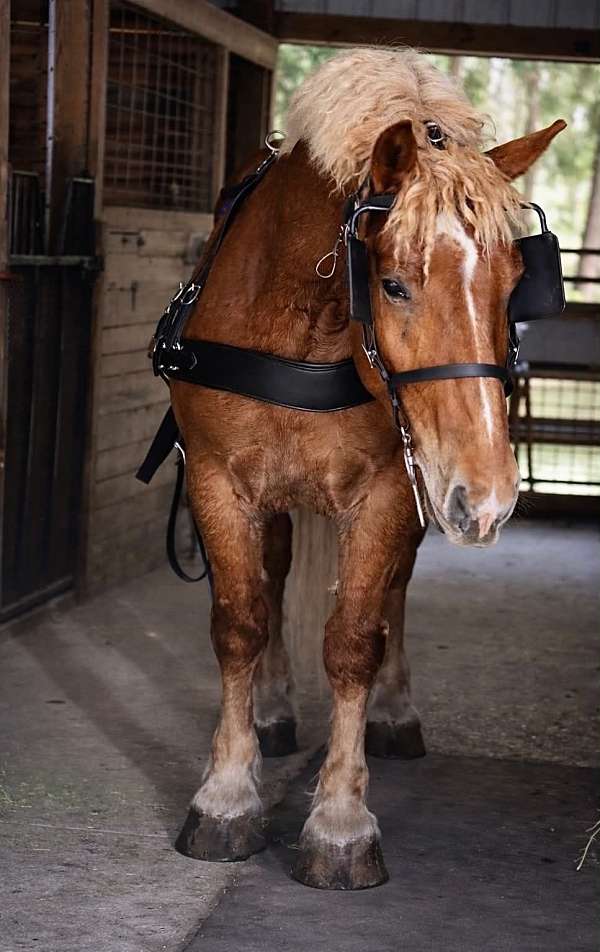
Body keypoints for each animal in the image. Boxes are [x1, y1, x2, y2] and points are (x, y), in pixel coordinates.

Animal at [168, 48, 565, 890]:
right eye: (393, 283)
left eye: (514, 285)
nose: (489, 496)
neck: (305, 326)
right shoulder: (219, 478)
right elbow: (240, 621)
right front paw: (227, 794)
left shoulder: (391, 491)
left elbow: (355, 637)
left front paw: (340, 822)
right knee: (274, 577)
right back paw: (273, 709)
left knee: (393, 595)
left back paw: (393, 709)